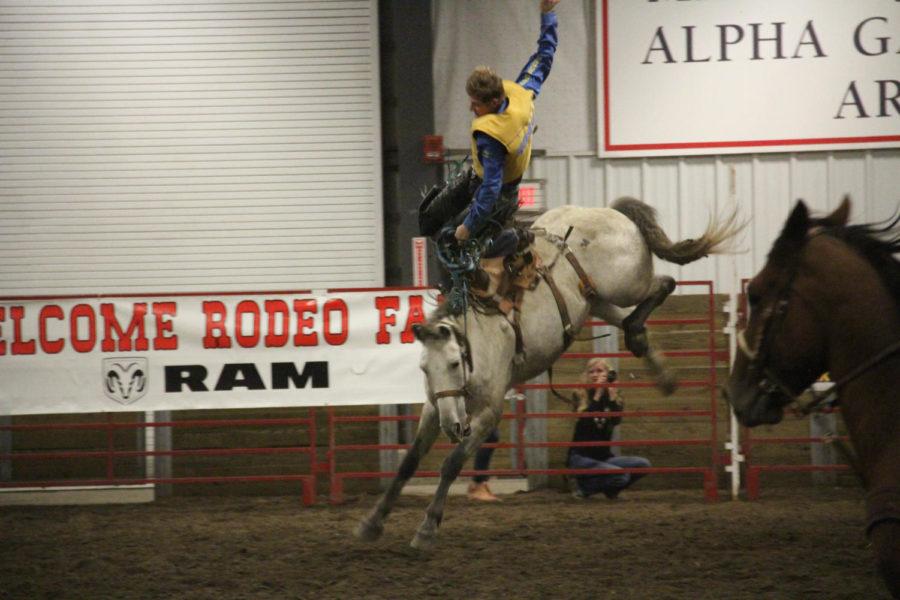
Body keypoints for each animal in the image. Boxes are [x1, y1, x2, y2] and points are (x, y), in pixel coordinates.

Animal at [356, 197, 740, 548]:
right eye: (423, 368)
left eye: (453, 363)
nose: (452, 426)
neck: (474, 340)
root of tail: (611, 211)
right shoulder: (435, 407)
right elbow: (408, 463)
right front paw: (372, 522)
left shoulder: (487, 413)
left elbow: (451, 463)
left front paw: (426, 529)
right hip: (595, 299)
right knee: (630, 318)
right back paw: (657, 366)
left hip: (627, 283)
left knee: (664, 283)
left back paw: (645, 340)